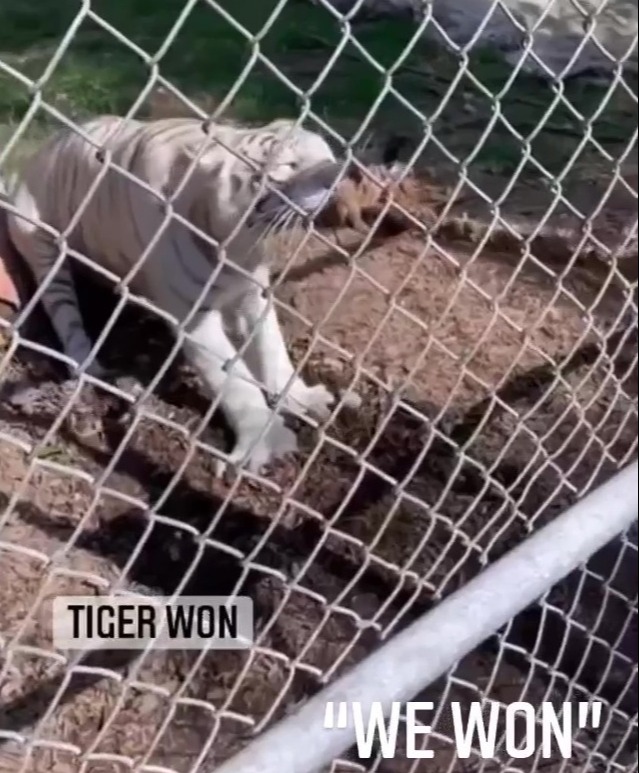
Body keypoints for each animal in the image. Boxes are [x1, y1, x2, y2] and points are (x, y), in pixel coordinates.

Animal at [7, 116, 350, 470]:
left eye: (325, 153)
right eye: (287, 165)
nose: (338, 172)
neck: (239, 243)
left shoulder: (253, 293)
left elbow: (272, 348)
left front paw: (301, 399)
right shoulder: (194, 316)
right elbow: (233, 380)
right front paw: (264, 441)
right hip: (43, 248)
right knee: (67, 318)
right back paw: (92, 368)